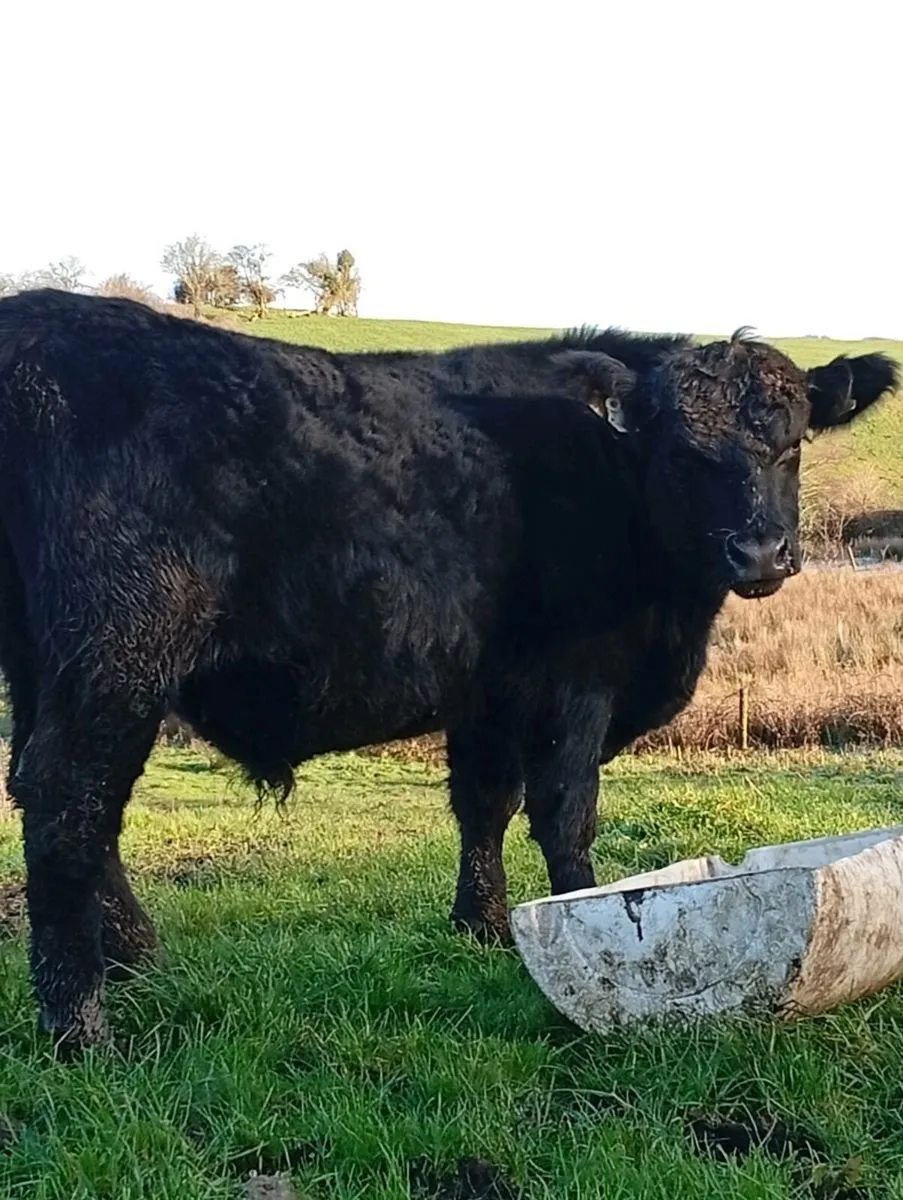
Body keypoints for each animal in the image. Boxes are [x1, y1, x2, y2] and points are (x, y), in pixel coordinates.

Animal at [0, 288, 896, 1051]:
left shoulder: (487, 692)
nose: (758, 552)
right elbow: (564, 813)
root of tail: (35, 323)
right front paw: (584, 913)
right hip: (118, 652)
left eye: (792, 444)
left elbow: (482, 805)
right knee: (69, 801)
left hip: (45, 665)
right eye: (682, 453)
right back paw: (82, 1025)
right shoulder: (576, 682)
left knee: (48, 794)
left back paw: (136, 960)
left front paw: (483, 927)